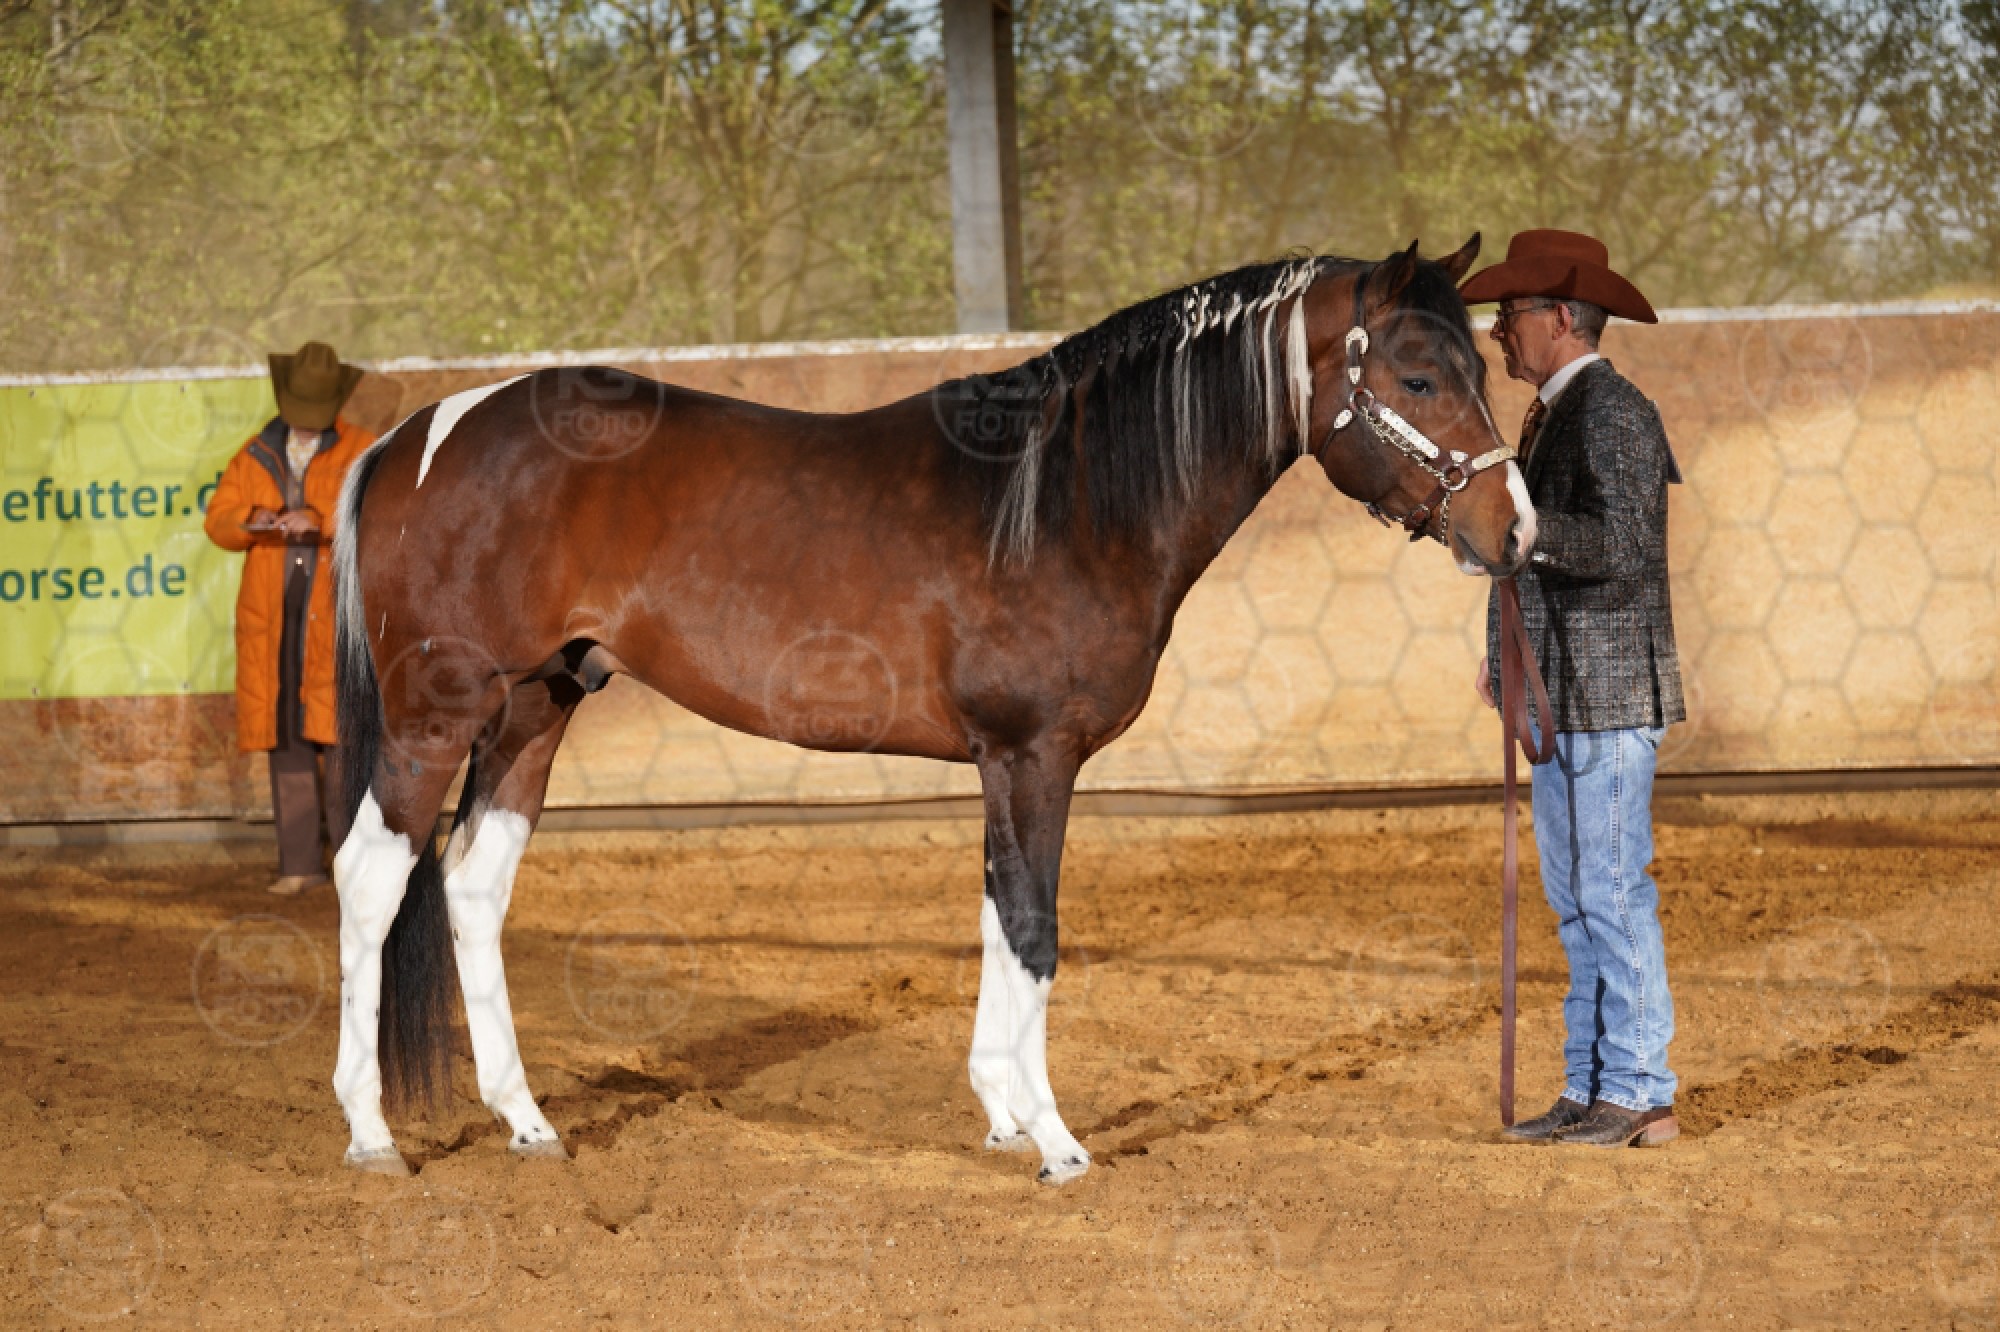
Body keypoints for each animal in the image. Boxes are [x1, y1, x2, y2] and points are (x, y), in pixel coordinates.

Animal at [326, 235, 1534, 1184]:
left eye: (1480, 366)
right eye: (1418, 377)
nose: (1515, 529)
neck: (1064, 500)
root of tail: (418, 433)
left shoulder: (1001, 762)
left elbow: (998, 914)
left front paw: (1001, 1113)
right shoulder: (1035, 752)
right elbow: (1034, 927)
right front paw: (1055, 1141)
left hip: (539, 705)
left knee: (474, 887)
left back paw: (526, 1123)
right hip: (436, 713)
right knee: (372, 879)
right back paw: (373, 1136)